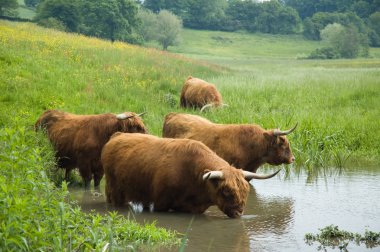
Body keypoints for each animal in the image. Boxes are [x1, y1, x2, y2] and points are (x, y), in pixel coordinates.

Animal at [101, 133, 280, 218]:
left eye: (245, 192)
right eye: (226, 191)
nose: (238, 213)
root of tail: (117, 135)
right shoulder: (161, 203)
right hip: (114, 190)